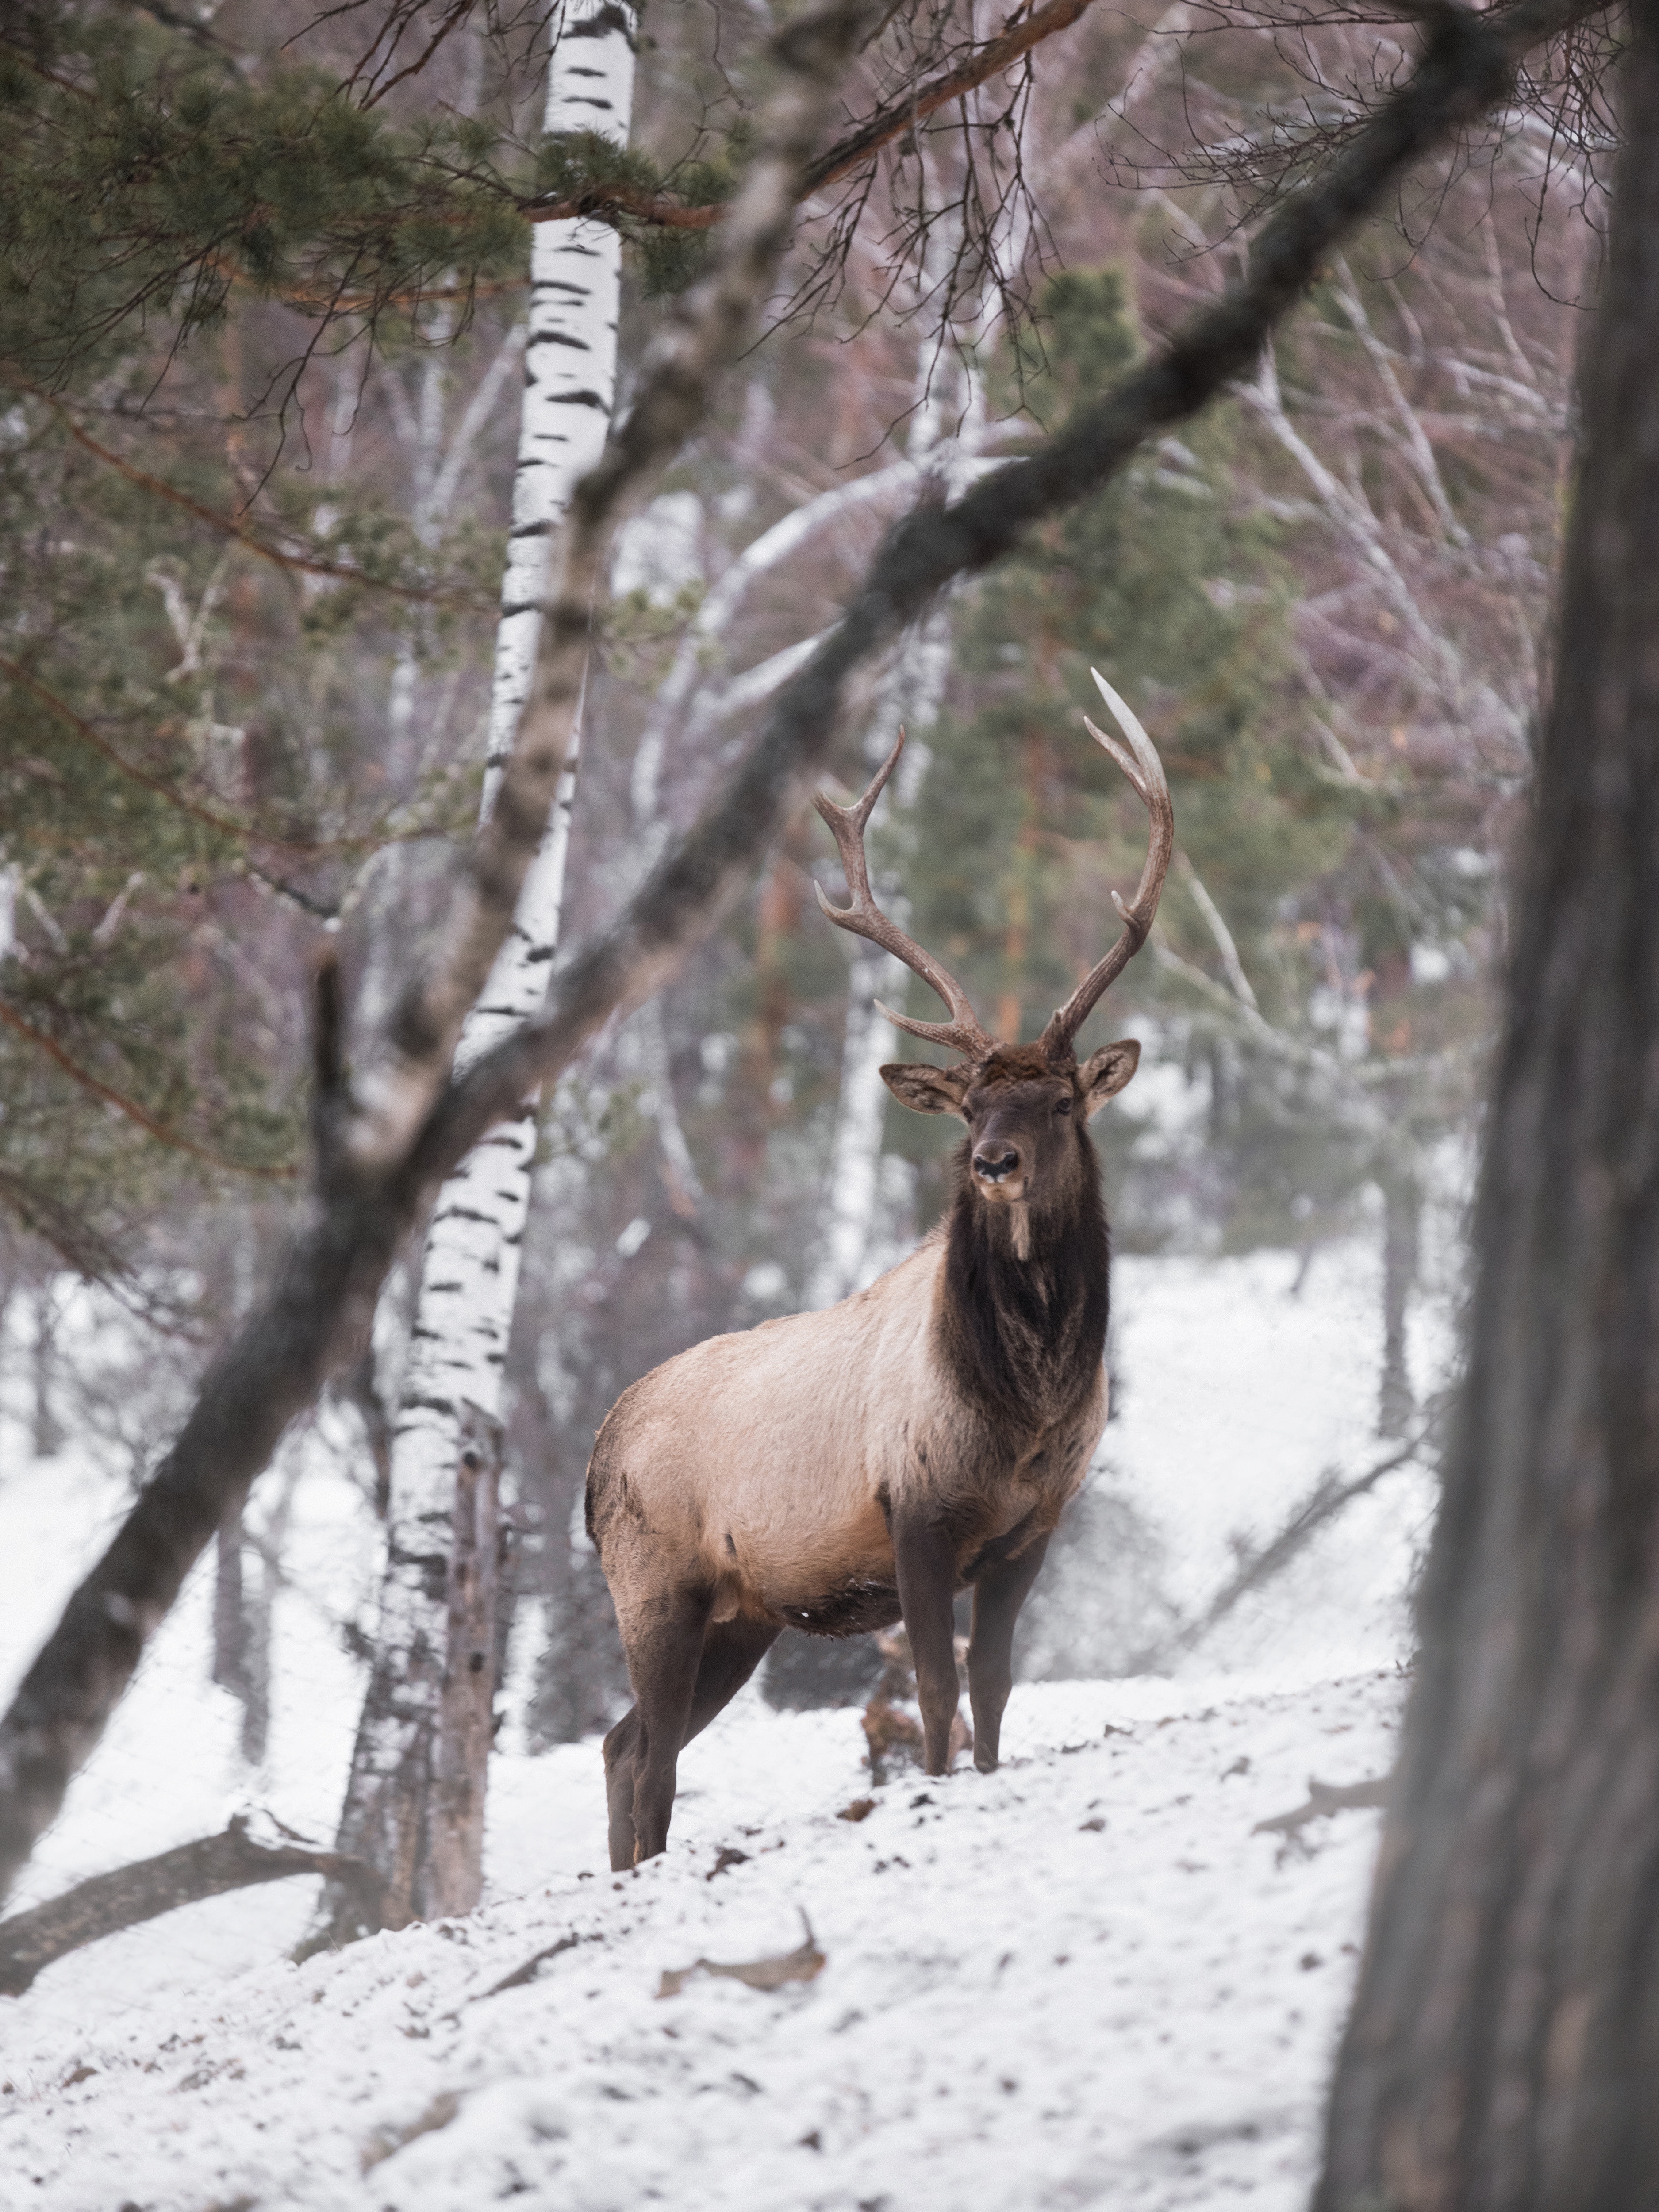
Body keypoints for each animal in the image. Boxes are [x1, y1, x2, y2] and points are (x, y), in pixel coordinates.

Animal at [593, 664, 1177, 1858]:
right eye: (968, 1105)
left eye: (1058, 1099)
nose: (995, 1161)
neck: (1022, 1407)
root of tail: (589, 1459)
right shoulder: (914, 1508)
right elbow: (938, 1693)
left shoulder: (1032, 1529)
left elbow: (993, 1688)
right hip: (655, 1578)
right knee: (651, 1754)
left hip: (742, 1615)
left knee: (626, 1742)